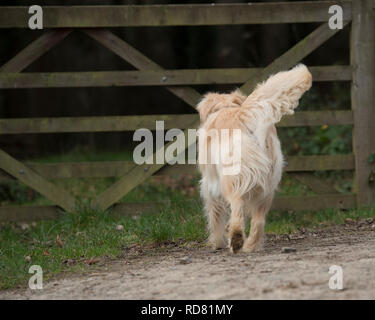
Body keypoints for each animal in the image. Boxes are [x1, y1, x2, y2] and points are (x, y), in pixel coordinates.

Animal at [198, 64, 312, 252]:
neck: (224, 107)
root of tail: (245, 116)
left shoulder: (210, 183)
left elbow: (215, 214)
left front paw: (216, 242)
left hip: (231, 180)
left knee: (237, 206)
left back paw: (236, 239)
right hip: (267, 188)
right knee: (259, 221)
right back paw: (250, 245)